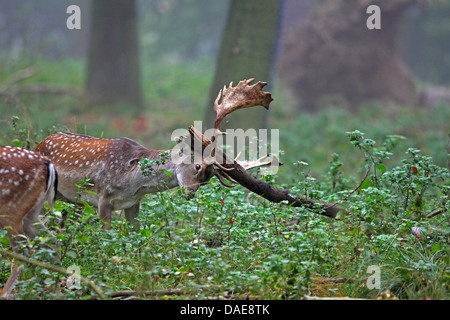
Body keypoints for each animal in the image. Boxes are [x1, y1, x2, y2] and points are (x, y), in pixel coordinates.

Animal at [0, 146, 57, 298]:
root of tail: (48, 163)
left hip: (11, 211)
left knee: (23, 253)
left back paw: (5, 294)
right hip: (32, 213)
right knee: (53, 241)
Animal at [33, 79, 272, 230]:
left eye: (208, 179)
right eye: (197, 166)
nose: (190, 192)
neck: (133, 182)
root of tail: (37, 145)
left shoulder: (132, 204)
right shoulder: (103, 197)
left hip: (71, 200)